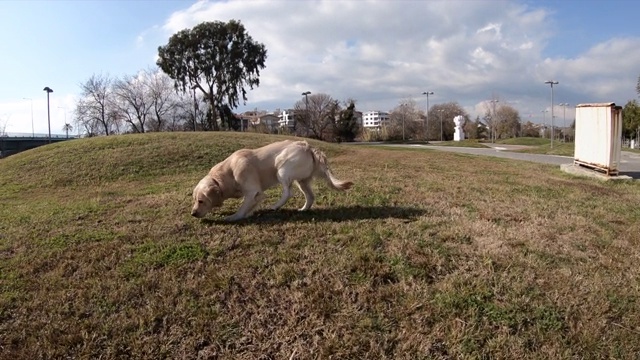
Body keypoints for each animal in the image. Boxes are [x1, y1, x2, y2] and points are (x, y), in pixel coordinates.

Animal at [192, 139, 352, 221]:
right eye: (195, 200)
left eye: (201, 201)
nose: (193, 213)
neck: (228, 172)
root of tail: (309, 146)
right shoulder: (257, 194)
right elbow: (252, 204)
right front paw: (248, 214)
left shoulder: (252, 191)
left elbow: (243, 207)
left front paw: (234, 217)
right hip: (302, 181)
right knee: (310, 197)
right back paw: (303, 209)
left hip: (281, 168)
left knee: (288, 193)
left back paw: (275, 206)